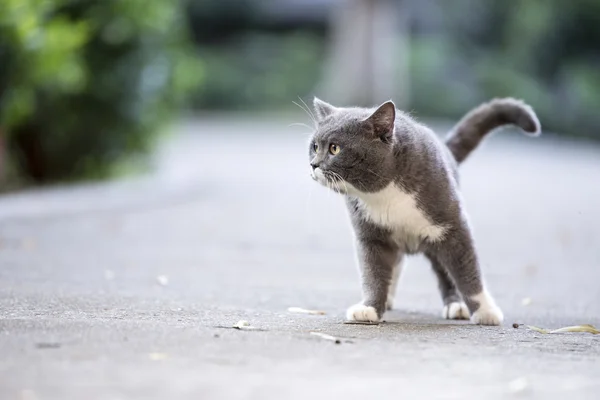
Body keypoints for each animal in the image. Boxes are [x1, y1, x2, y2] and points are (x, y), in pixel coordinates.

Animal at [310, 96, 540, 324]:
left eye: (334, 148)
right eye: (314, 146)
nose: (313, 164)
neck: (385, 193)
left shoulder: (453, 226)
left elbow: (467, 270)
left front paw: (485, 312)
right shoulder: (370, 234)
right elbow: (373, 272)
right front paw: (370, 309)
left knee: (445, 272)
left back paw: (456, 306)